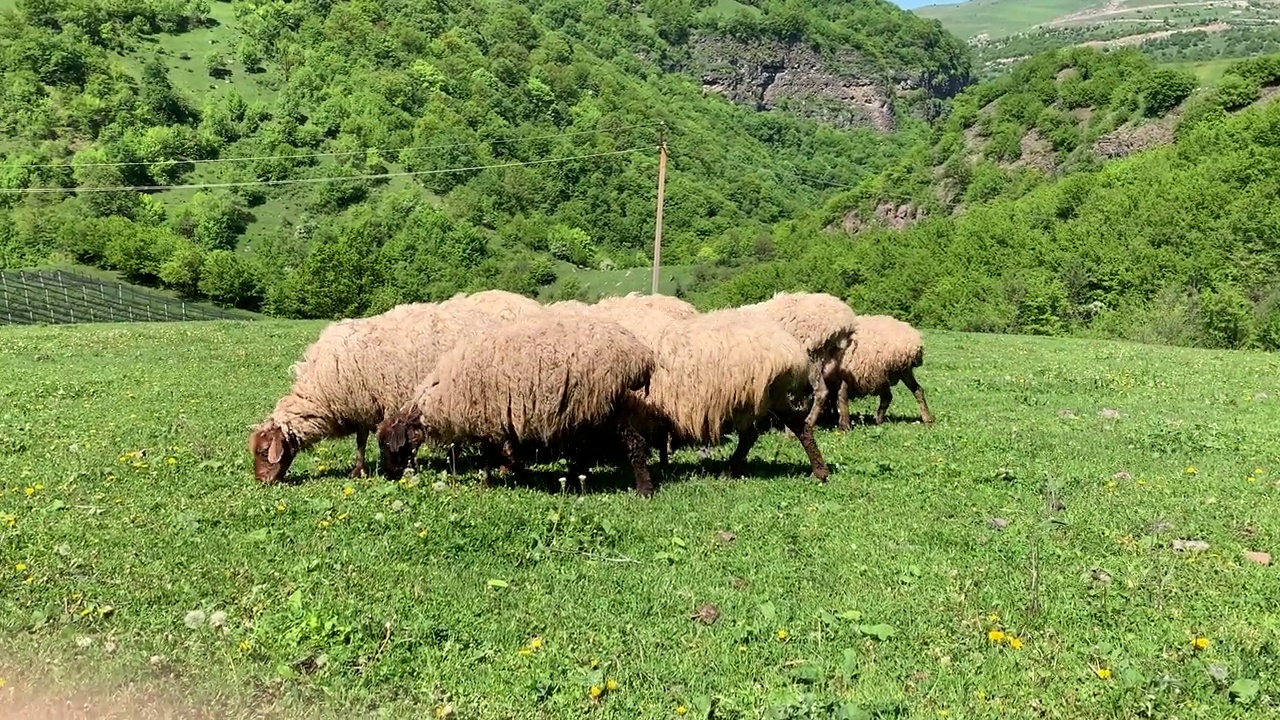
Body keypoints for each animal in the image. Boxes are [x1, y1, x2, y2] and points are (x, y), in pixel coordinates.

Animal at [248, 299, 494, 479]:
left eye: (263, 452)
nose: (262, 481)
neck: (321, 390)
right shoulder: (362, 405)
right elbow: (361, 440)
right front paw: (359, 470)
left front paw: (401, 468)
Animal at [373, 316, 660, 497]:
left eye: (387, 444)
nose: (391, 474)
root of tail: (639, 353)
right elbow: (502, 453)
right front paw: (518, 473)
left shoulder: (486, 421)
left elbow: (489, 456)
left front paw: (490, 481)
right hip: (595, 409)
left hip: (604, 405)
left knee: (632, 443)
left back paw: (643, 489)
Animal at [640, 308, 829, 481]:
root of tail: (788, 347)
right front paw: (663, 466)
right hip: (769, 394)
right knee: (793, 426)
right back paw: (820, 472)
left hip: (751, 396)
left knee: (754, 434)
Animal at [737, 289, 855, 427]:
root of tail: (842, 321)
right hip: (835, 357)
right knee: (842, 389)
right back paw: (844, 424)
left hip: (813, 358)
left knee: (821, 391)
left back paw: (809, 422)